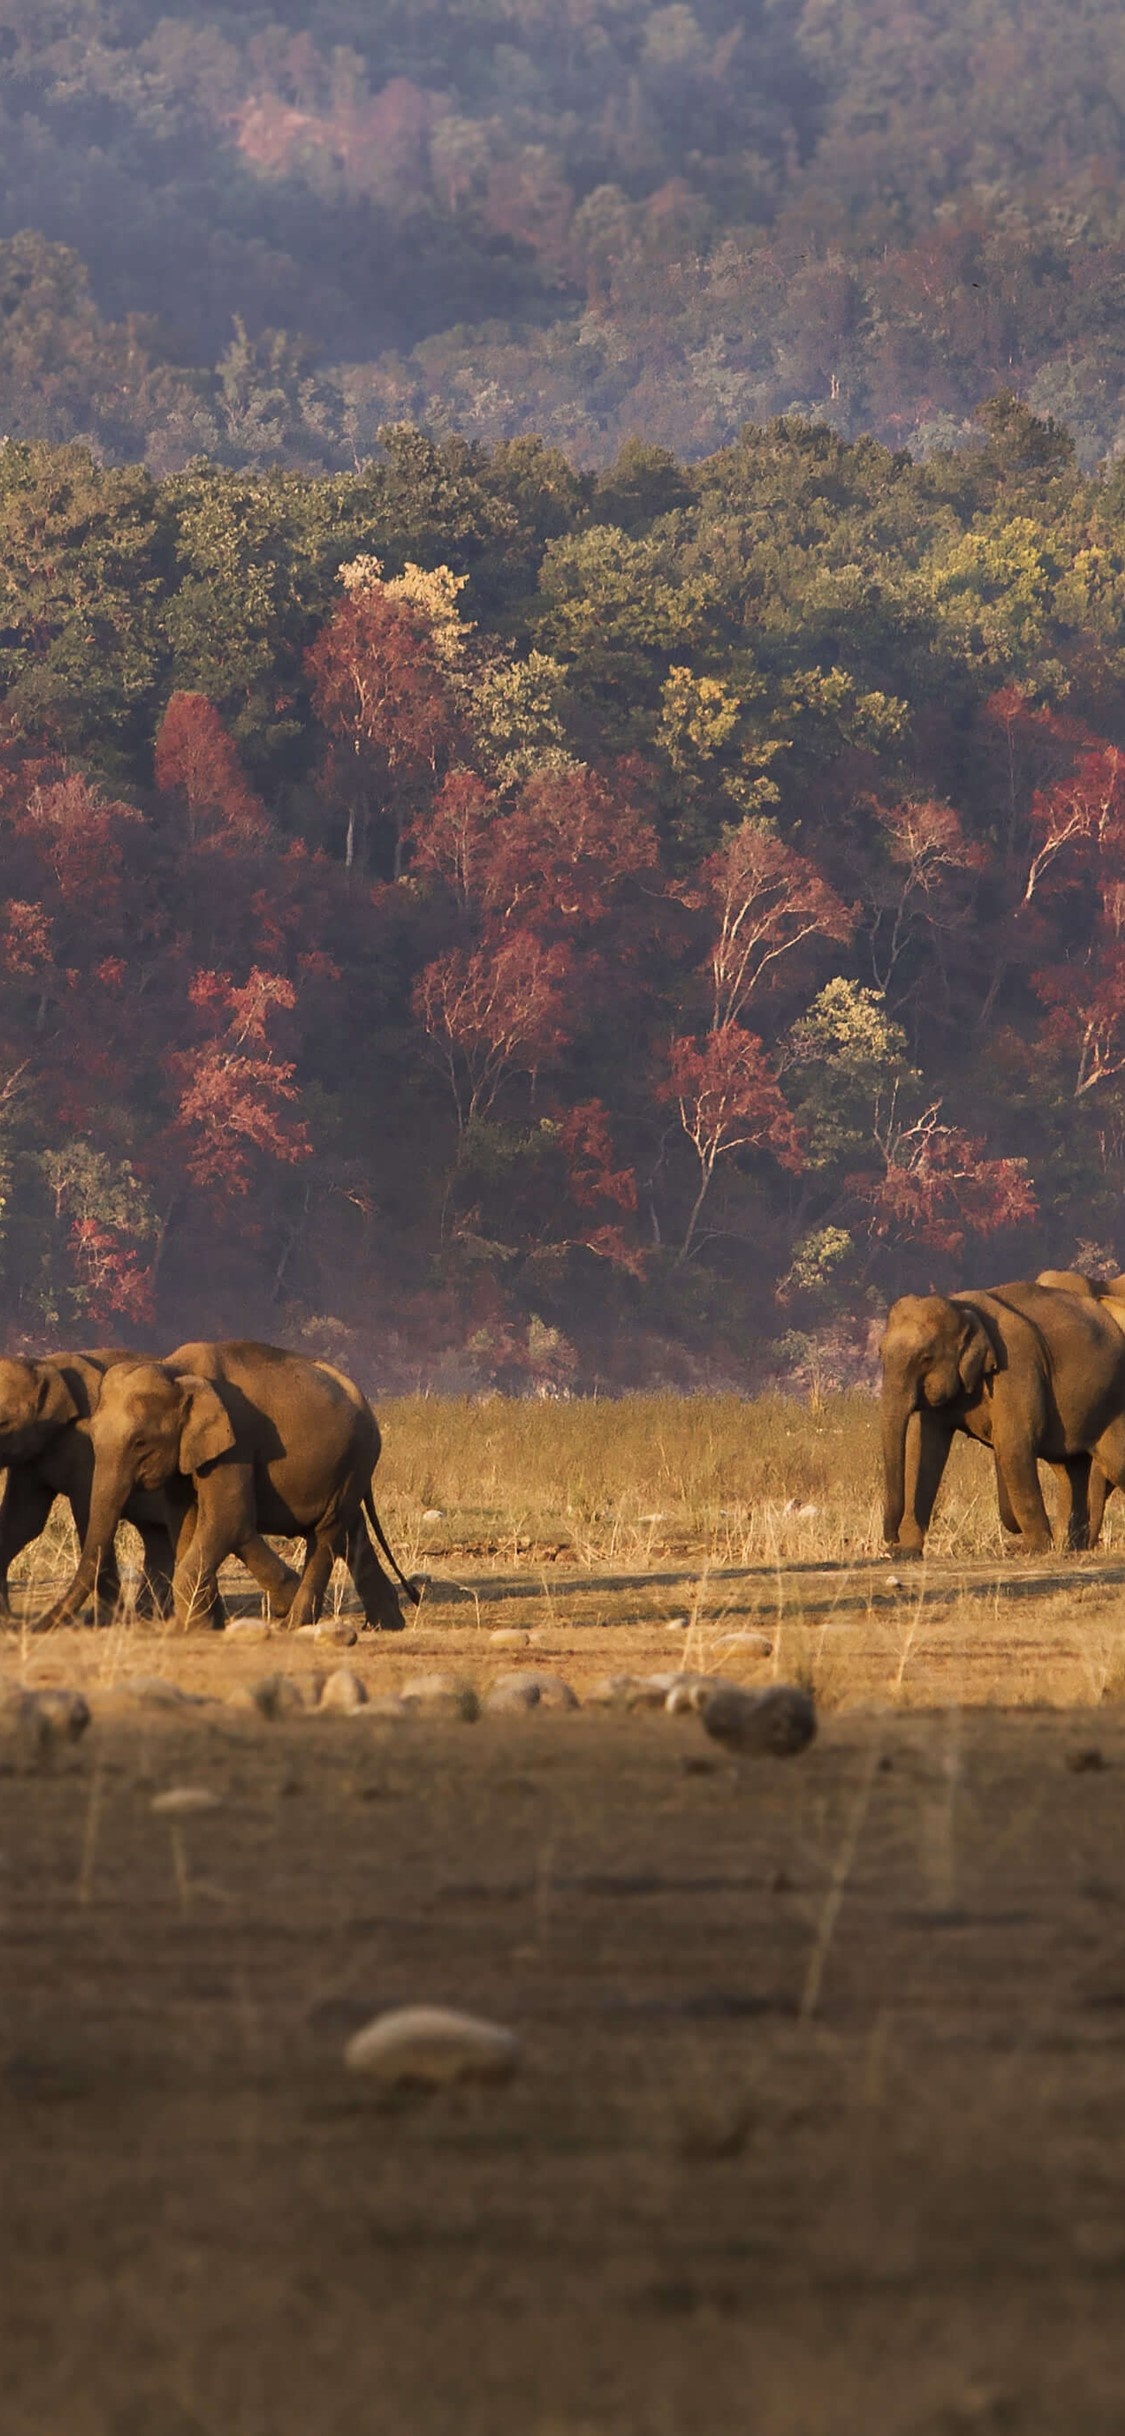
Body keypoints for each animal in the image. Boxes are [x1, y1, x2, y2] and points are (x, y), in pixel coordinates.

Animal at [39, 1334, 418, 1636]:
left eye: (140, 1443)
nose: (36, 1627)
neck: (176, 1370)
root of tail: (363, 1399)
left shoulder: (235, 1443)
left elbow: (228, 1518)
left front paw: (196, 1624)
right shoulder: (189, 1454)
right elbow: (186, 1522)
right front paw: (201, 1623)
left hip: (356, 1458)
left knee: (326, 1533)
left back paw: (295, 1622)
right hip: (348, 1467)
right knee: (352, 1531)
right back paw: (386, 1625)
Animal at [876, 1276, 1125, 1559]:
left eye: (925, 1357)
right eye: (880, 1353)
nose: (890, 1540)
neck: (962, 1308)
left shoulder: (1015, 1367)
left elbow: (1013, 1444)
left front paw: (1034, 1549)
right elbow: (924, 1451)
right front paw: (905, 1553)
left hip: (1112, 1402)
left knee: (1115, 1463)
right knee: (1071, 1470)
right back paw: (1071, 1548)